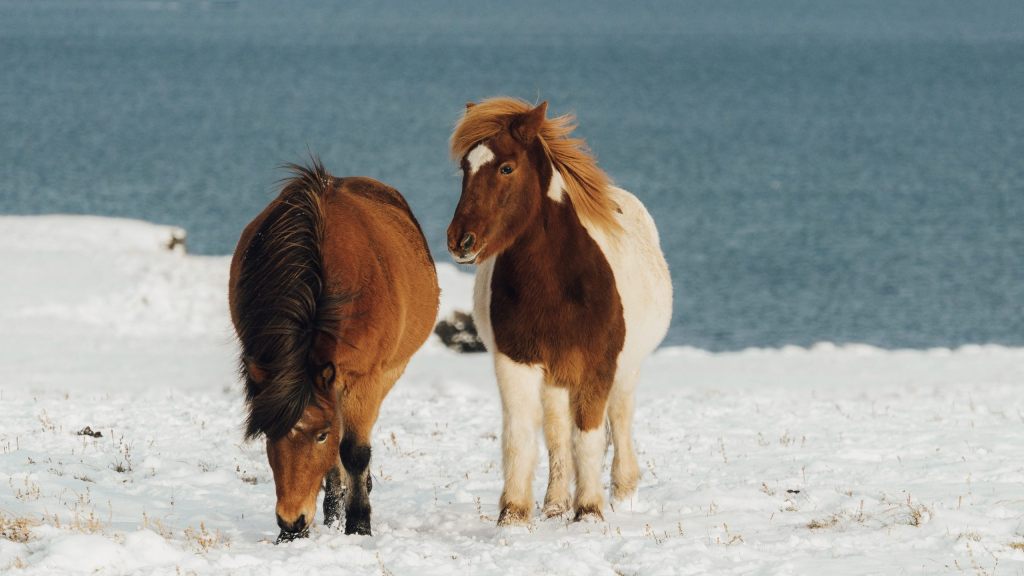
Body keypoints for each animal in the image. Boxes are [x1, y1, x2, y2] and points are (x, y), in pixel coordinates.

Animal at [230, 157, 438, 537]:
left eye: (321, 436)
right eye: (269, 434)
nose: (291, 520)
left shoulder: (362, 378)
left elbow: (354, 451)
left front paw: (358, 524)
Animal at [446, 97, 671, 520]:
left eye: (506, 167)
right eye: (465, 168)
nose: (460, 241)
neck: (556, 286)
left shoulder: (598, 367)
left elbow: (590, 436)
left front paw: (590, 510)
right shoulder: (517, 362)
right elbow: (521, 437)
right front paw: (514, 515)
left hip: (626, 368)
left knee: (620, 419)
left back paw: (623, 494)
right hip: (555, 379)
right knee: (555, 435)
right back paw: (554, 504)